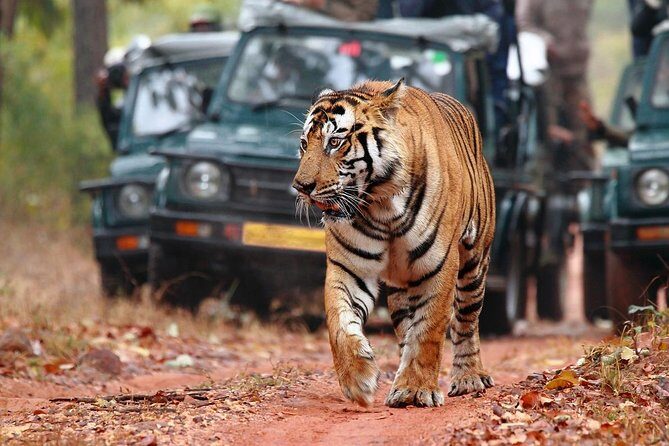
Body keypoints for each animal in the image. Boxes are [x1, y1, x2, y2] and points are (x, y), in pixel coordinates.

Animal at [292, 78, 496, 407]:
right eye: (303, 143)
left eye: (334, 142)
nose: (300, 187)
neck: (381, 205)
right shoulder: (348, 268)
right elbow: (339, 323)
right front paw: (358, 380)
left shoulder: (439, 266)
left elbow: (429, 329)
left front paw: (416, 389)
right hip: (402, 286)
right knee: (406, 328)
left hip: (474, 263)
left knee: (466, 321)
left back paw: (469, 378)